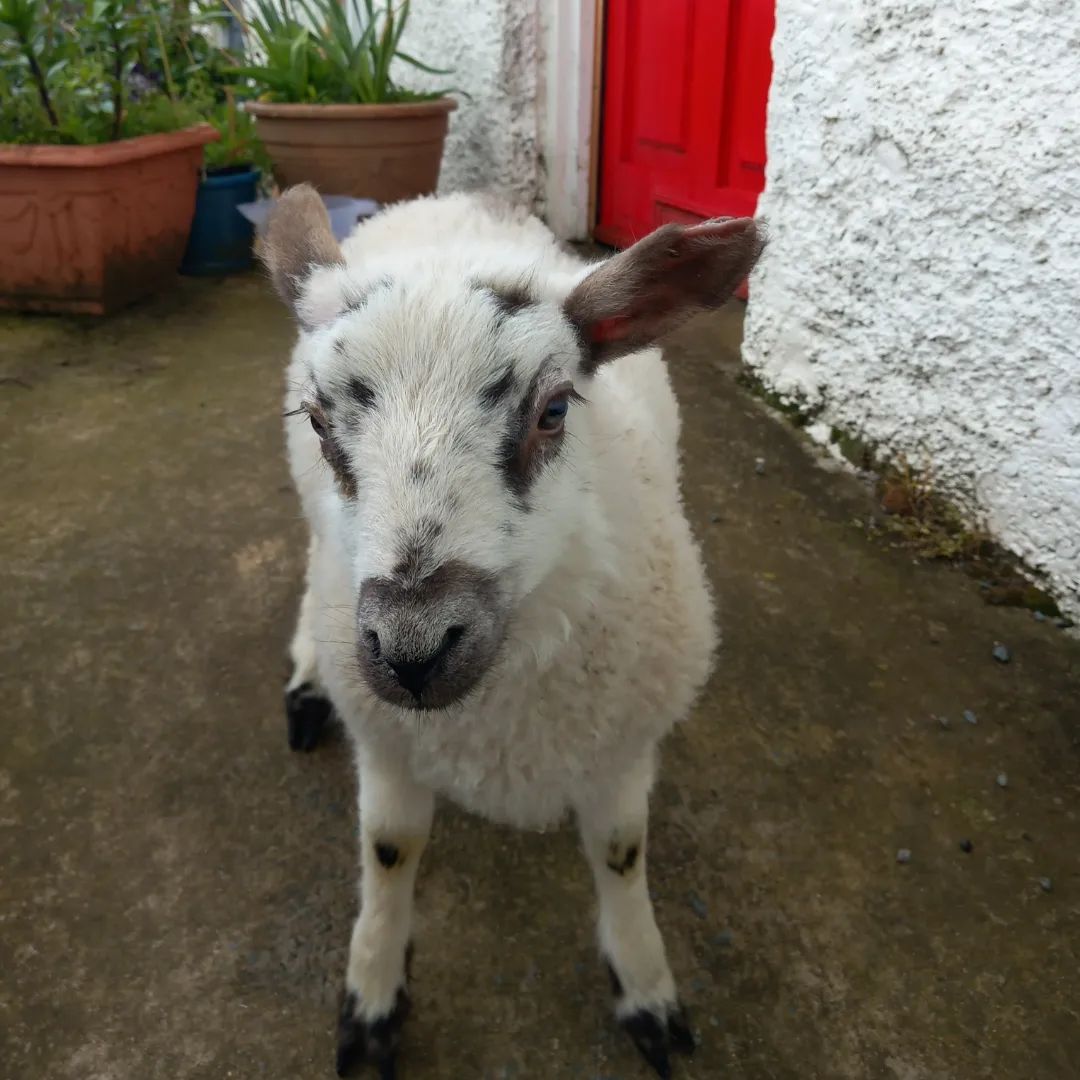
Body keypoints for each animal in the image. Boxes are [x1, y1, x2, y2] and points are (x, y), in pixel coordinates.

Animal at [262, 184, 764, 1079]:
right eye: (320, 424)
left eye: (555, 410)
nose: (414, 649)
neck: (497, 730)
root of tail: (448, 196)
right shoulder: (388, 740)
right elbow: (390, 851)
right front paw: (373, 993)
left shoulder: (619, 747)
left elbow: (622, 855)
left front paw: (646, 987)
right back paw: (307, 682)